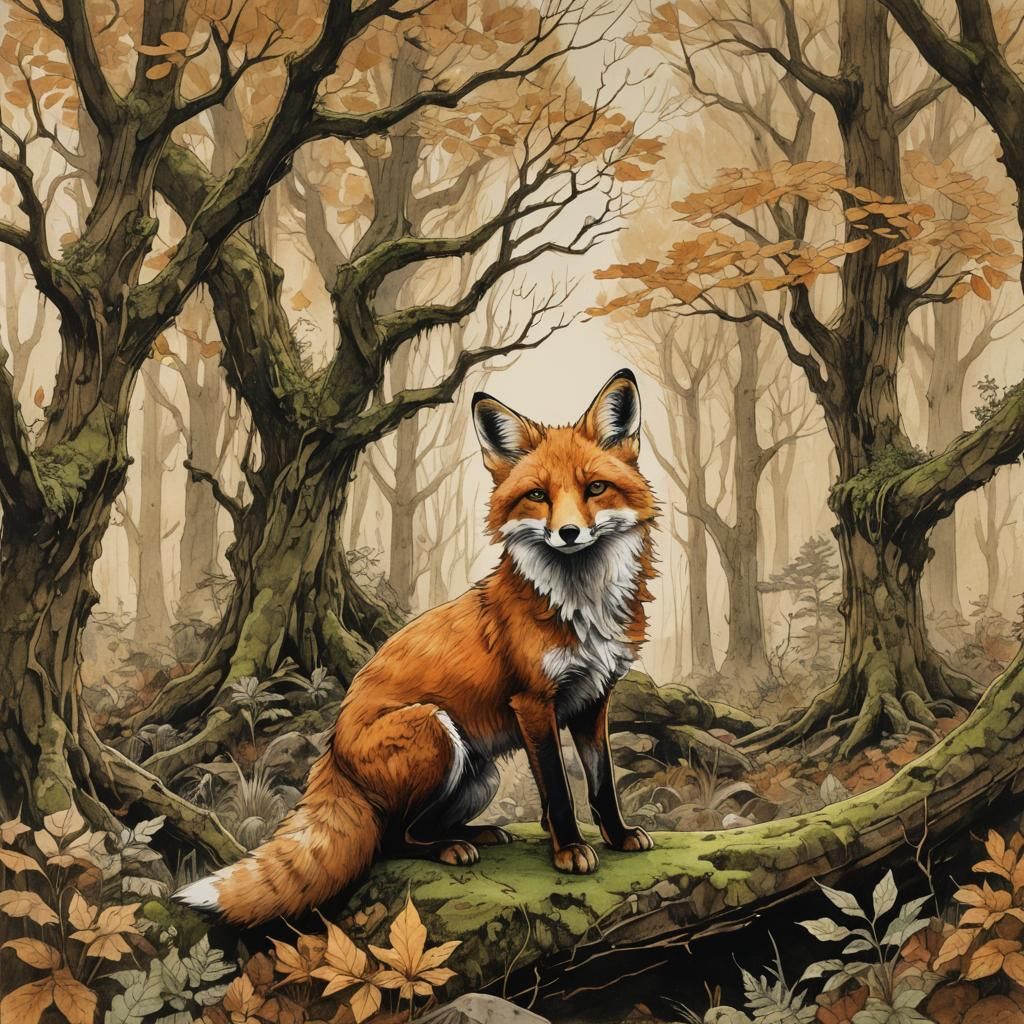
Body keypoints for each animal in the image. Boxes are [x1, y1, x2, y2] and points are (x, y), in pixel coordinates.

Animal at [175, 368, 658, 925]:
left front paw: (617, 836)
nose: (569, 532)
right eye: (538, 495)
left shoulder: (593, 698)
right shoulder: (533, 702)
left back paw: (474, 833)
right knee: (391, 840)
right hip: (435, 731)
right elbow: (558, 790)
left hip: (481, 774)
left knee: (416, 828)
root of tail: (332, 751)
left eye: (595, 488)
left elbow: (602, 783)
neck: (580, 607)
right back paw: (451, 848)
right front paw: (569, 851)